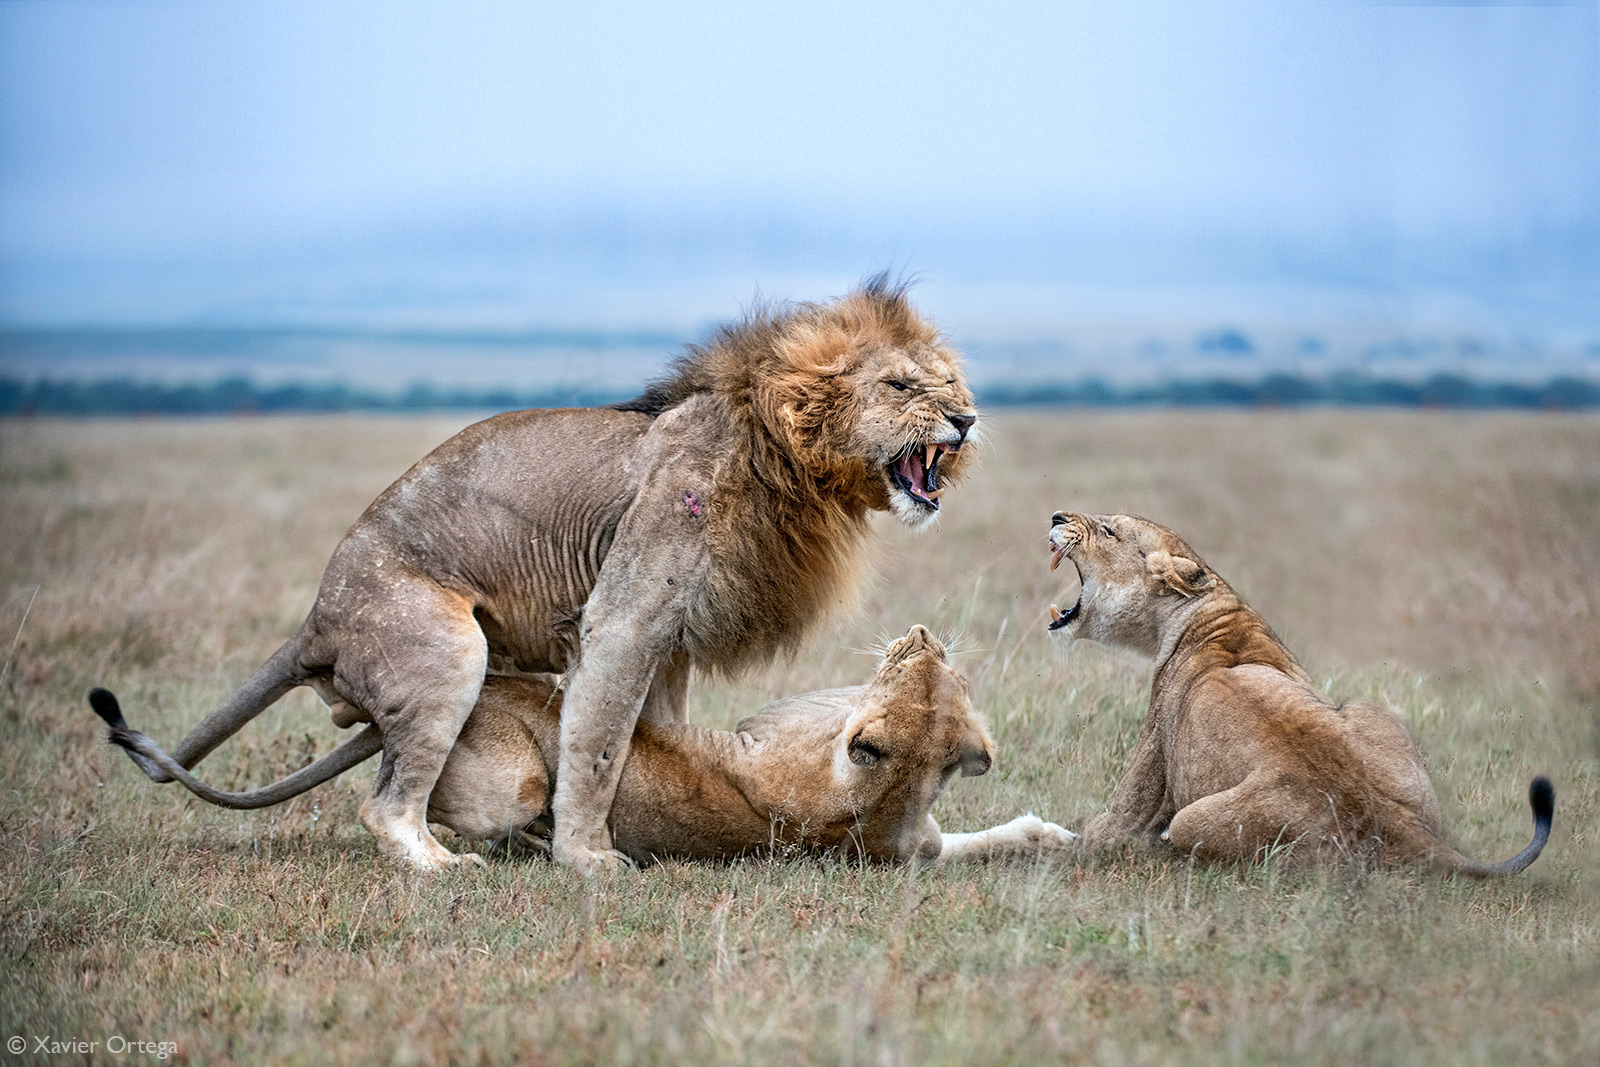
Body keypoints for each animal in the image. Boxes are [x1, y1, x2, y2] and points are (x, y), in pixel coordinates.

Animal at [93, 279, 979, 870]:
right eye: (901, 385)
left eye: (950, 383)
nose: (967, 418)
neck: (786, 458)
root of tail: (317, 619)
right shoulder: (624, 617)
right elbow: (595, 745)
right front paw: (588, 859)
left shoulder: (670, 640)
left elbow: (641, 736)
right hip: (448, 650)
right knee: (386, 806)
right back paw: (441, 867)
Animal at [1043, 511, 1555, 876]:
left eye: (1109, 528)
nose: (1056, 515)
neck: (1206, 609)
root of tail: (1405, 830)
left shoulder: (1149, 760)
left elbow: (1104, 829)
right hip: (1365, 708)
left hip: (1196, 822)